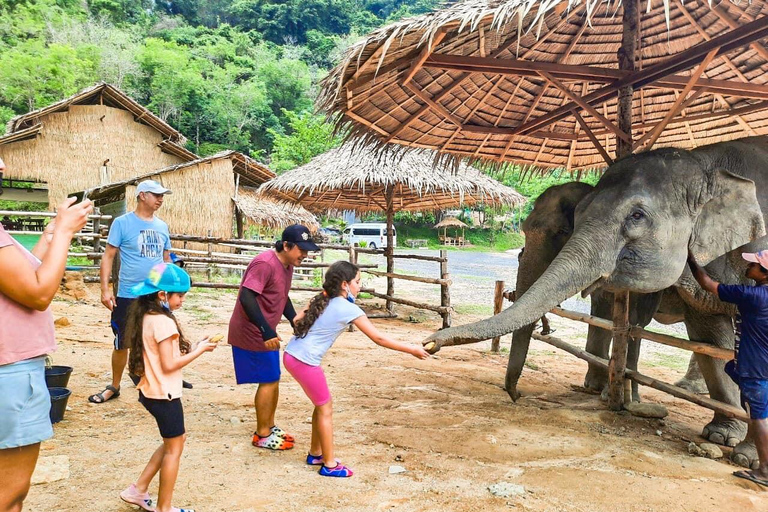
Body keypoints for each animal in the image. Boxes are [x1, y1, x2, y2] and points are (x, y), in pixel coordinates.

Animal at [508, 183, 704, 404]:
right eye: (524, 229)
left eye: (563, 231)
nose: (518, 395)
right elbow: (601, 311)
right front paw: (594, 386)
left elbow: (637, 319)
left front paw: (626, 397)